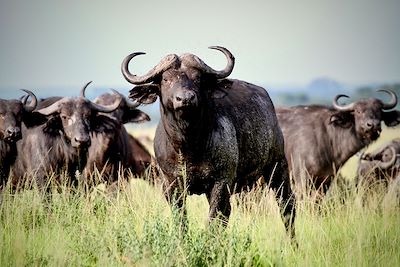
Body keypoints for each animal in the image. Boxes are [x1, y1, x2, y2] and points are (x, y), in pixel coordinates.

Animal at [120, 47, 296, 238]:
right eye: (166, 79)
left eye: (197, 78)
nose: (185, 99)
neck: (188, 146)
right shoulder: (171, 185)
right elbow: (181, 220)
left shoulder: (221, 183)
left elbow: (213, 220)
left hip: (277, 166)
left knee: (287, 206)